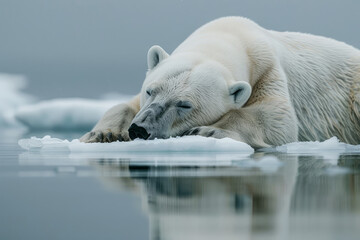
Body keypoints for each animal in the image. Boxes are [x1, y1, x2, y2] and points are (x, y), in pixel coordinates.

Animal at [81, 16, 360, 148]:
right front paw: (104, 133)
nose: (141, 129)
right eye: (150, 91)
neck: (229, 35)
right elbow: (125, 104)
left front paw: (206, 131)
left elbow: (277, 119)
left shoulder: (268, 70)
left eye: (184, 105)